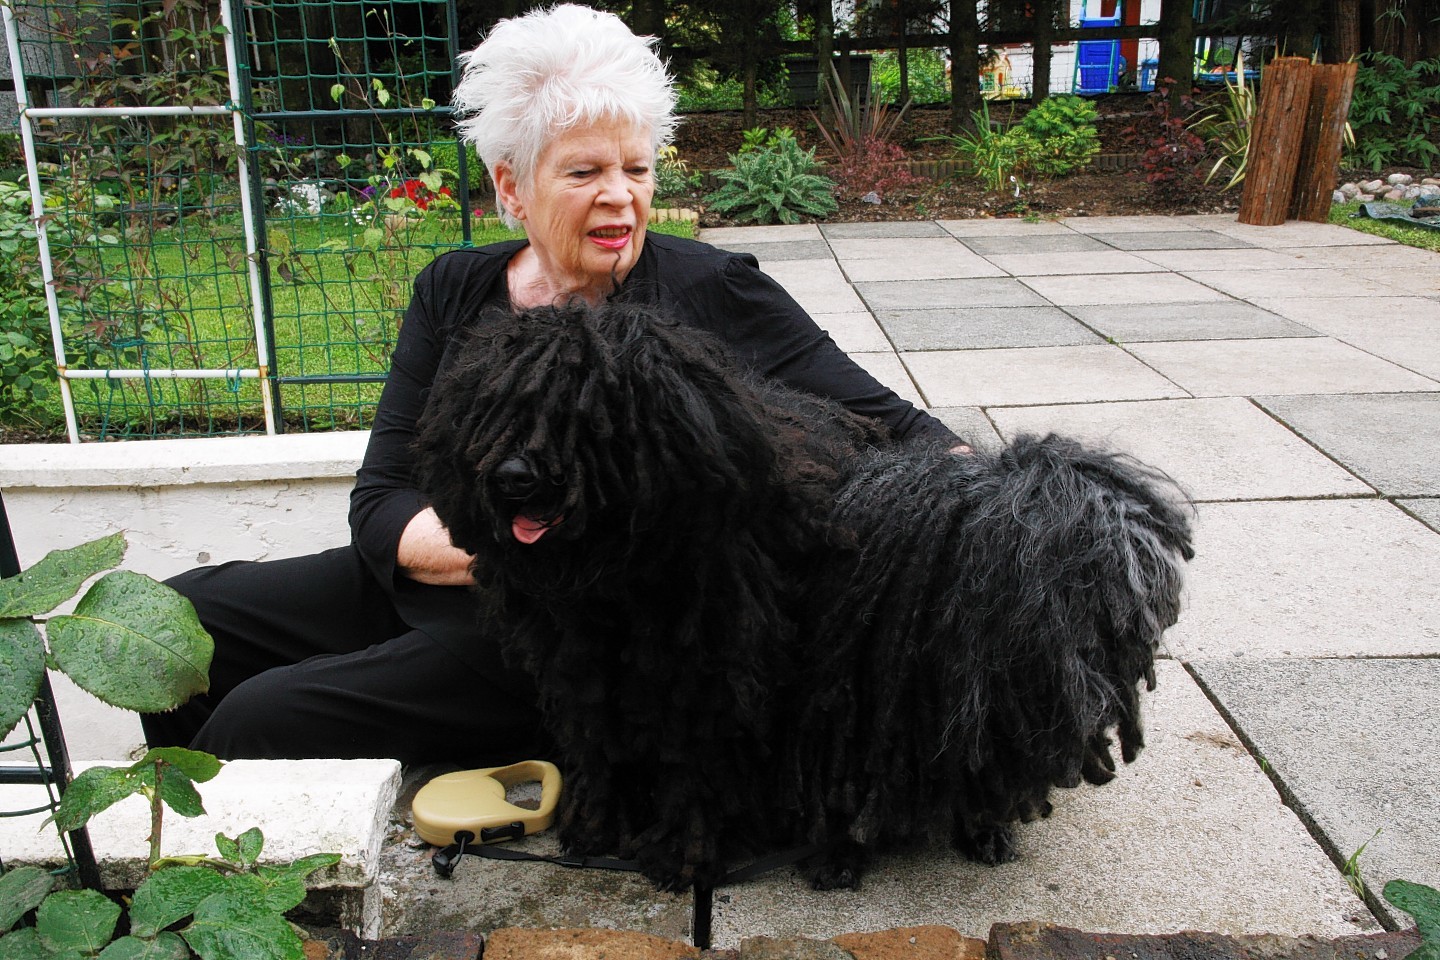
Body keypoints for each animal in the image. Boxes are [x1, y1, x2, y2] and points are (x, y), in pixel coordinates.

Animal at [414, 300, 1192, 892]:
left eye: (591, 412)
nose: (512, 477)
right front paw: (595, 830)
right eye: (491, 407)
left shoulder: (715, 686)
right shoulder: (586, 674)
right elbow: (598, 747)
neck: (623, 579)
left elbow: (699, 769)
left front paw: (682, 857)